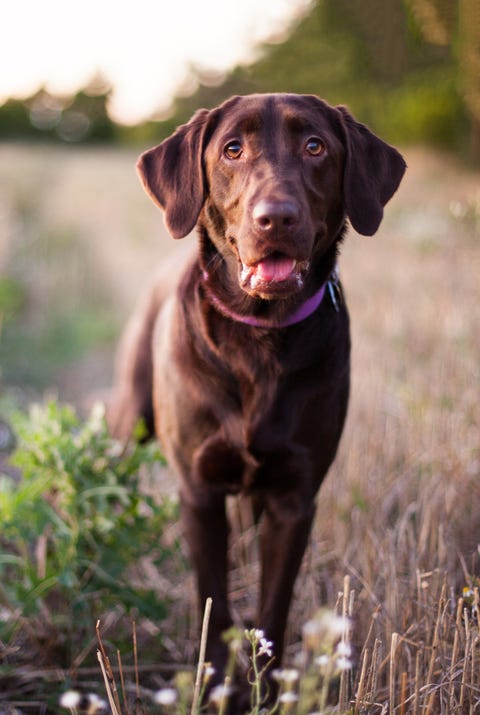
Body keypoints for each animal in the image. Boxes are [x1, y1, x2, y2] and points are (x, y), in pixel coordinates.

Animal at [109, 93, 404, 700]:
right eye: (232, 149)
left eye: (315, 146)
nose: (277, 217)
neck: (259, 339)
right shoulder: (198, 492)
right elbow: (213, 600)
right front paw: (215, 688)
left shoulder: (295, 497)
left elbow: (274, 607)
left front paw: (268, 693)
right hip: (131, 421)